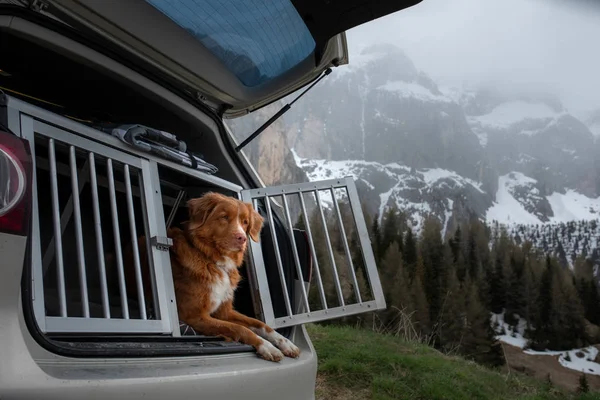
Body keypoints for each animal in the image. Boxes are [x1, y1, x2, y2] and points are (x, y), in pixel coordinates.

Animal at [125, 193, 300, 362]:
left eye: (245, 222)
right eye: (224, 217)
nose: (242, 238)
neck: (212, 260)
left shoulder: (224, 311)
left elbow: (261, 324)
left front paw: (286, 343)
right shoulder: (195, 316)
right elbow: (240, 328)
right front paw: (267, 346)